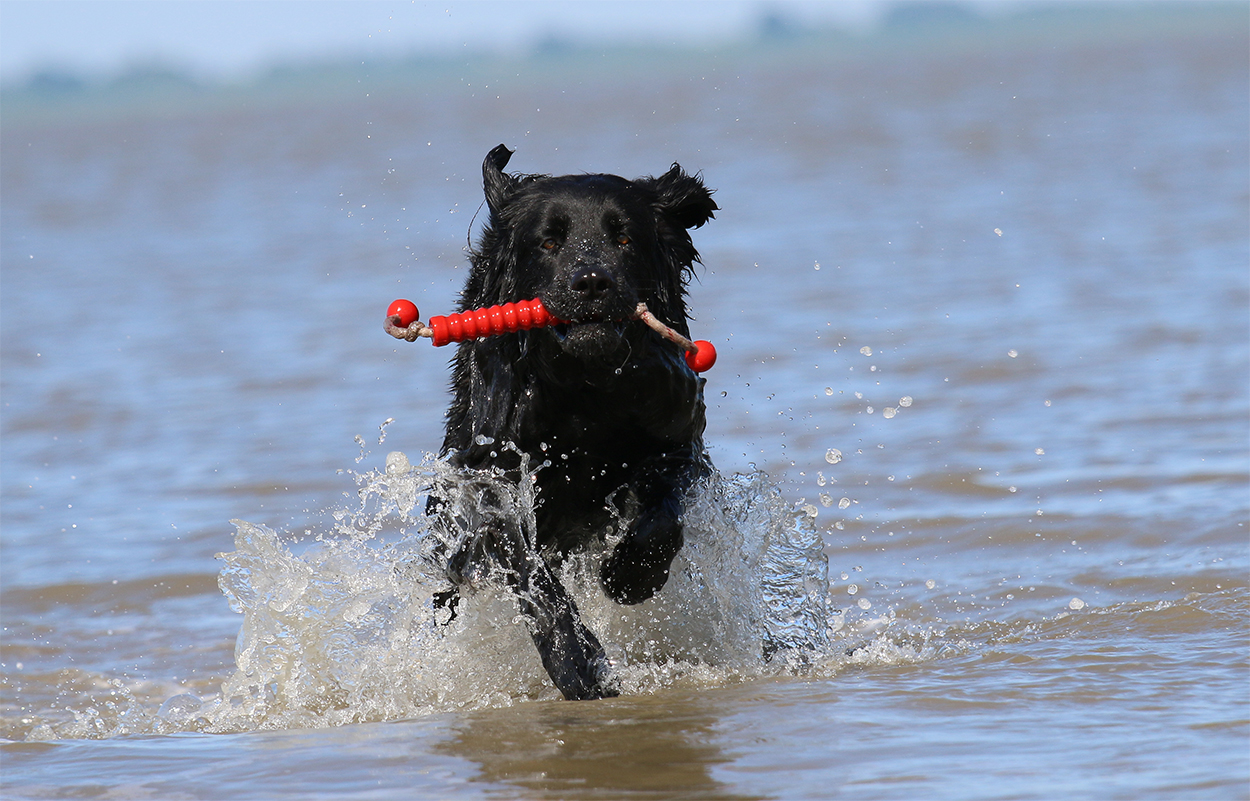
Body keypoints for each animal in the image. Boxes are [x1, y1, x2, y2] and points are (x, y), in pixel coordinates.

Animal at [429, 144, 718, 700]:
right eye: (549, 241)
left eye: (624, 237)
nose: (592, 283)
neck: (587, 392)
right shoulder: (491, 476)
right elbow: (530, 572)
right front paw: (578, 663)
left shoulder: (677, 439)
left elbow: (661, 518)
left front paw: (630, 577)